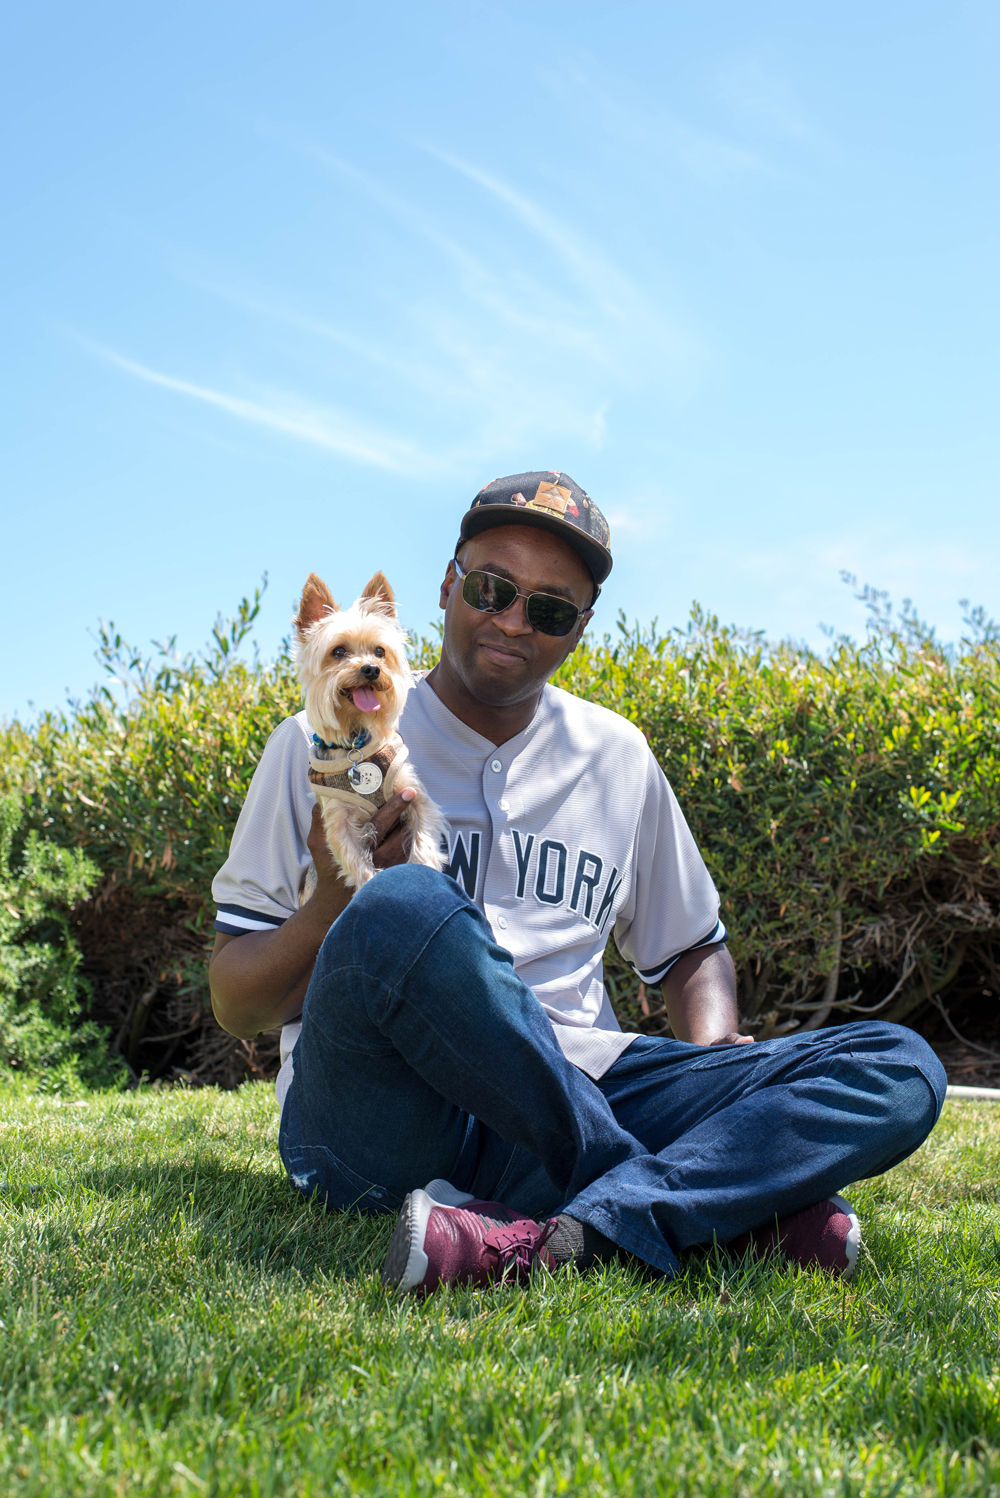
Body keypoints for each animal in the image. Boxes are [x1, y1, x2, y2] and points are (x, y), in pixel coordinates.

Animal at [294, 570, 448, 890]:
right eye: (338, 651)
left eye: (380, 651)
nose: (371, 669)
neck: (355, 739)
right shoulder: (337, 820)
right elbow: (356, 862)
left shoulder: (415, 796)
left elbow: (424, 841)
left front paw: (424, 870)